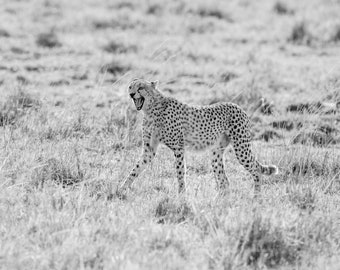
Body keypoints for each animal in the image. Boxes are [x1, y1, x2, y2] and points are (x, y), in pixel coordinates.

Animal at [118, 79, 278, 197]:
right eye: (130, 86)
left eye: (140, 88)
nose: (131, 94)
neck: (150, 110)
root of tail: (237, 105)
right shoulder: (149, 150)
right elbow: (135, 169)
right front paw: (121, 188)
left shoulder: (179, 148)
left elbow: (180, 172)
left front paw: (182, 195)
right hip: (216, 154)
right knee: (224, 180)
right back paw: (219, 201)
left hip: (241, 148)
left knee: (255, 169)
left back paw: (256, 197)